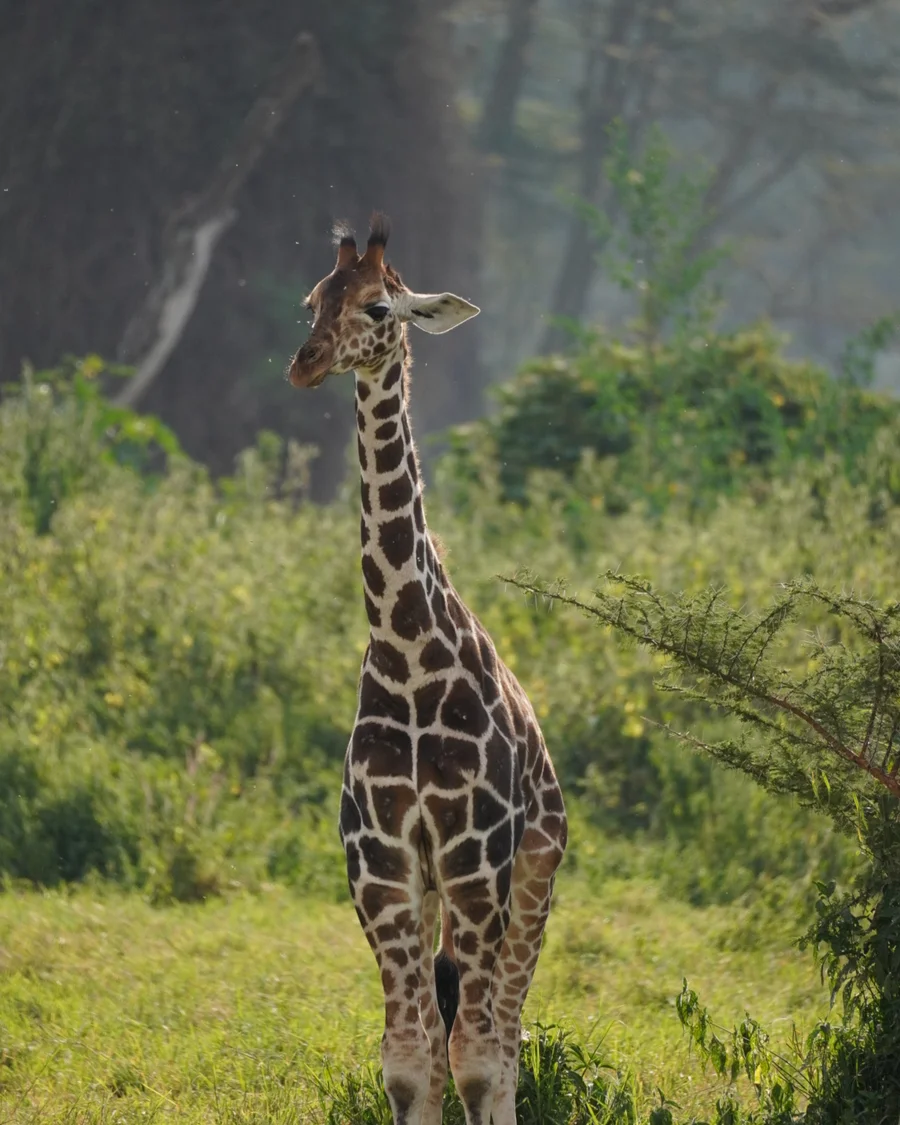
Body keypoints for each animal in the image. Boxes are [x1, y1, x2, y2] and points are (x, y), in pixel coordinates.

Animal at [288, 215, 567, 1125]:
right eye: (313, 299)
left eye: (379, 306)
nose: (306, 362)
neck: (405, 650)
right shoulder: (381, 862)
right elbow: (411, 1062)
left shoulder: (478, 859)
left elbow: (474, 1060)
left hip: (534, 872)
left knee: (504, 1039)